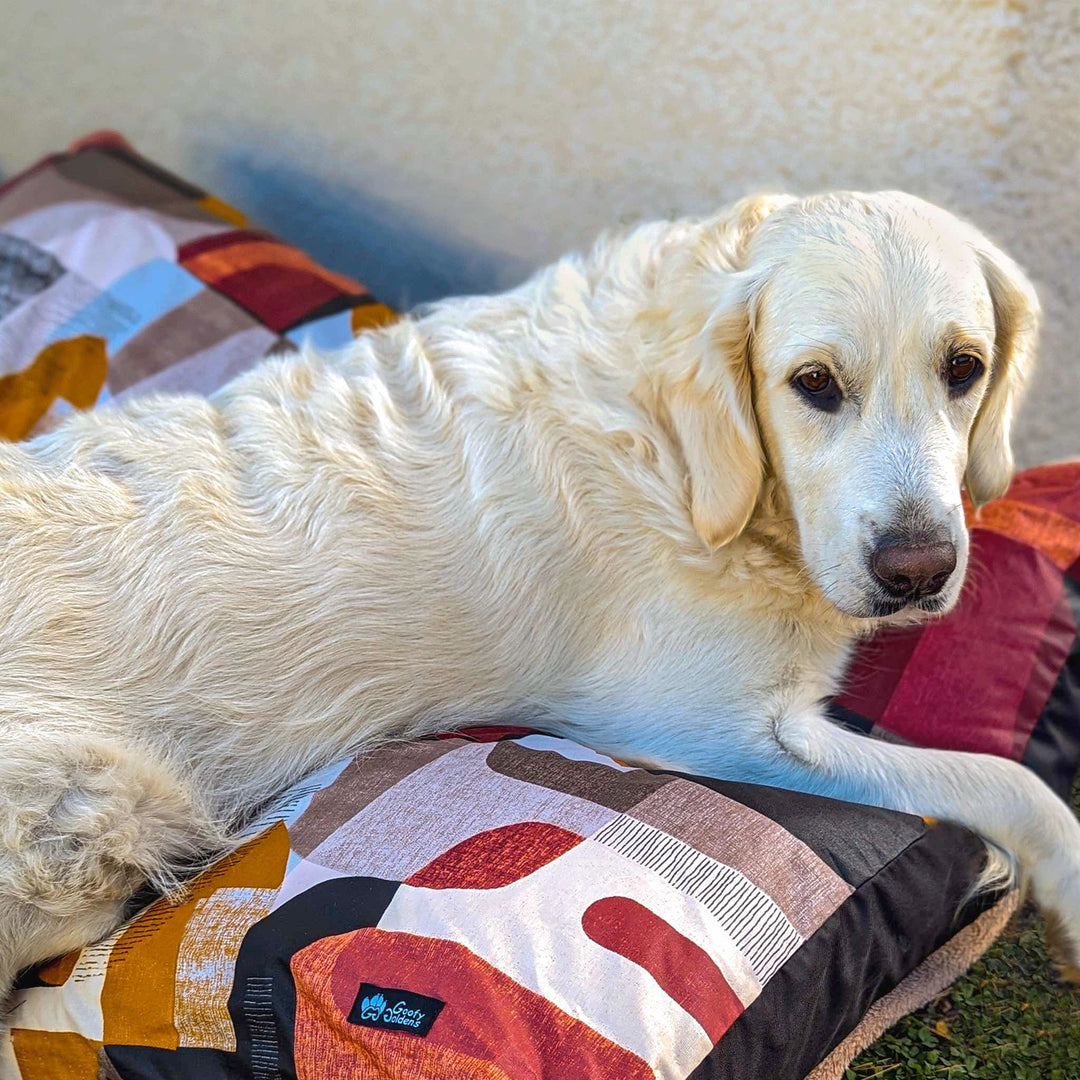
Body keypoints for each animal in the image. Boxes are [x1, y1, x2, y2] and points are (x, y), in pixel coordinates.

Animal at [2, 185, 1080, 1002]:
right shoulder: (714, 731)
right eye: (814, 384)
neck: (687, 452)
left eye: (964, 368)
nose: (918, 570)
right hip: (88, 818)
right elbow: (998, 781)